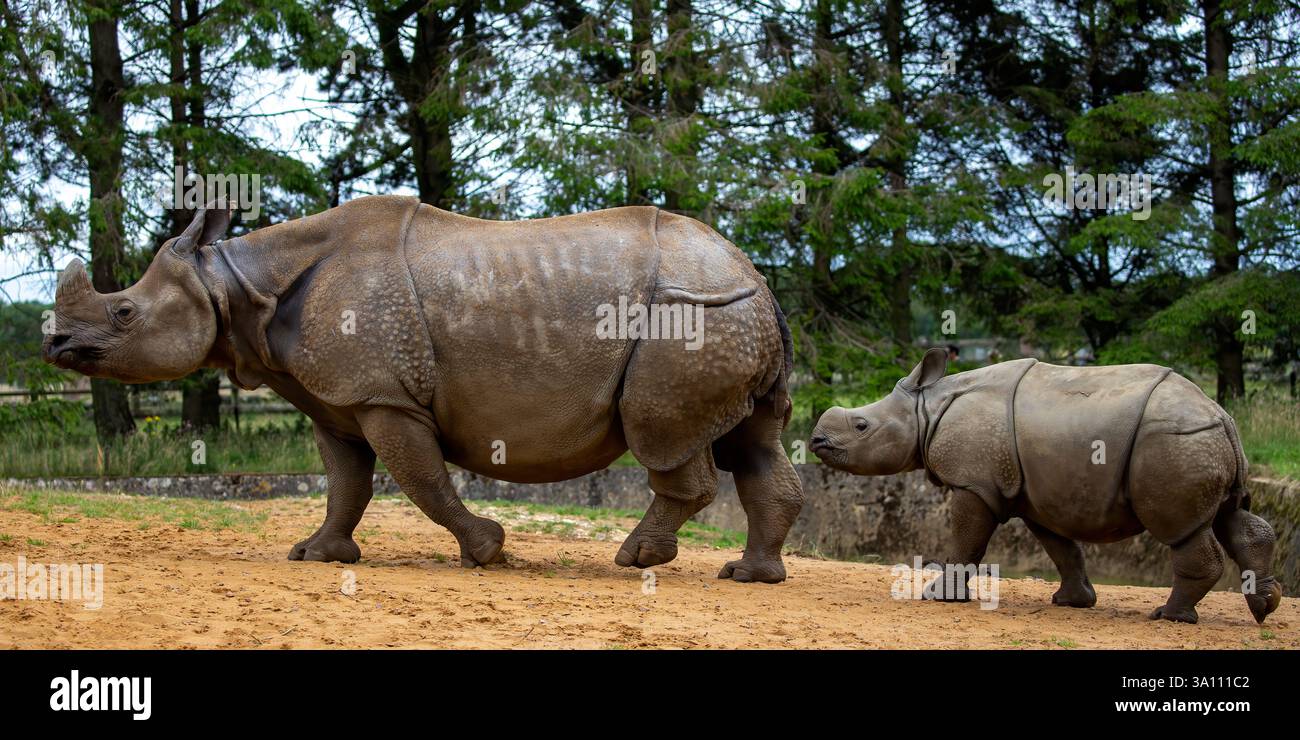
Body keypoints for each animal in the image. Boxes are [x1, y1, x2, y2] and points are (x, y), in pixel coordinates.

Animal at [44, 196, 803, 583]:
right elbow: (345, 482)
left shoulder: (384, 393)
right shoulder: (341, 398)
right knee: (756, 441)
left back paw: (635, 560)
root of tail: (757, 277)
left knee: (664, 437)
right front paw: (317, 556)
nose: (54, 345)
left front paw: (487, 551)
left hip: (692, 314)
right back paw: (749, 575)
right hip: (729, 314)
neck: (234, 285)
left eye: (124, 313)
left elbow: (421, 479)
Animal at [810, 348, 1283, 624]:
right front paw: (1073, 602)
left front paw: (937, 598)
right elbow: (1061, 547)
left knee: (1182, 530)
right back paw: (1265, 606)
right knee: (1231, 516)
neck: (926, 408)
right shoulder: (1035, 494)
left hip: (1176, 442)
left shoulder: (974, 484)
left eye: (861, 425)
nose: (816, 441)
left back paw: (1170, 616)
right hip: (1201, 442)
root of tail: (1222, 416)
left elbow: (967, 540)